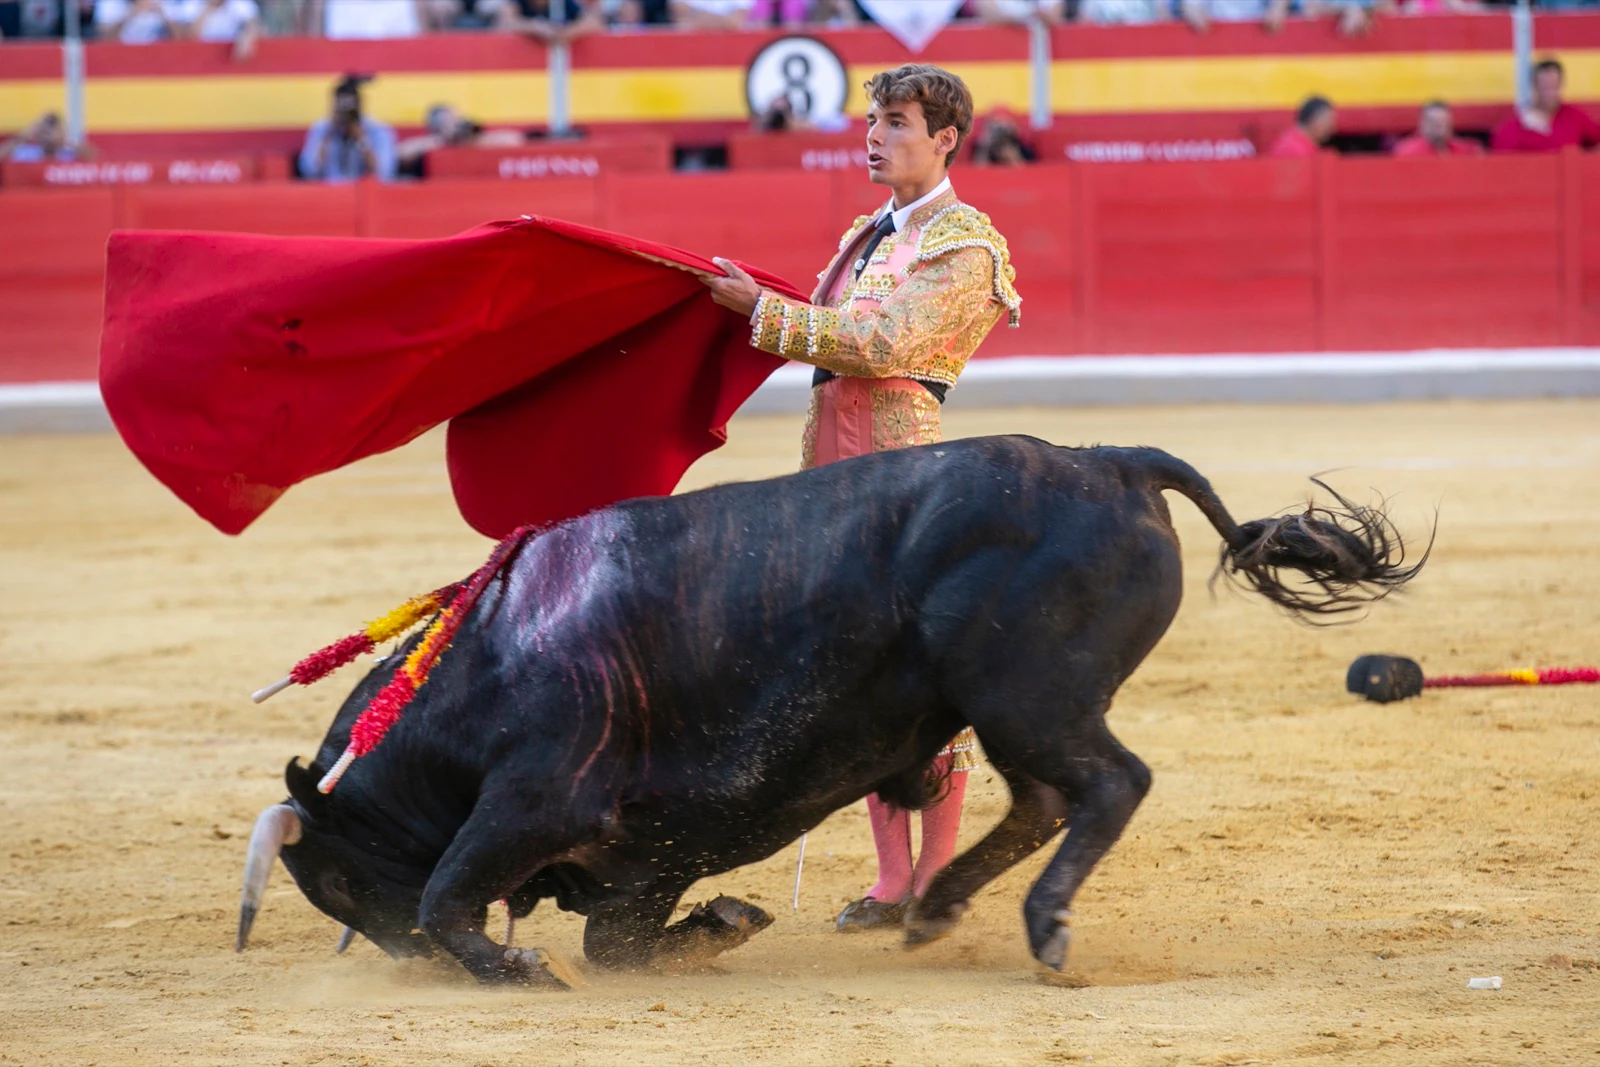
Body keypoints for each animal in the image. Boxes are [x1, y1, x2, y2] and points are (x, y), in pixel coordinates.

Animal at [233, 438, 1414, 991]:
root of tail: (1106, 460)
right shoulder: (639, 854)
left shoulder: (538, 797)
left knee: (1109, 783)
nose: (405, 968)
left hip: (1027, 692)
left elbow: (447, 893)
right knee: (1042, 799)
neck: (490, 655)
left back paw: (1042, 925)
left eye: (337, 879)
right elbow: (618, 941)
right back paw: (933, 908)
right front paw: (723, 922)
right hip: (1010, 708)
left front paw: (518, 966)